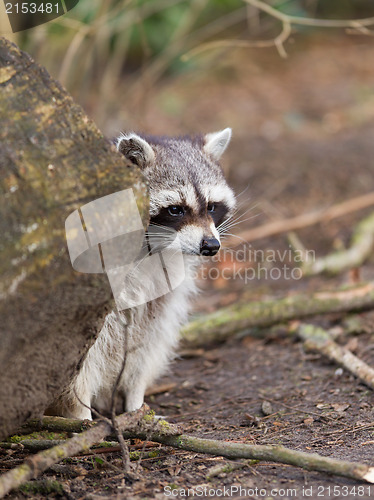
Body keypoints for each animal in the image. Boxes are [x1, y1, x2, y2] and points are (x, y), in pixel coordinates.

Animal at [52, 128, 235, 418]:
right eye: (176, 209)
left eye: (211, 207)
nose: (211, 246)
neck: (149, 250)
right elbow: (78, 360)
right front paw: (80, 413)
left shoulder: (162, 294)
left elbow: (146, 342)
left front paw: (136, 402)